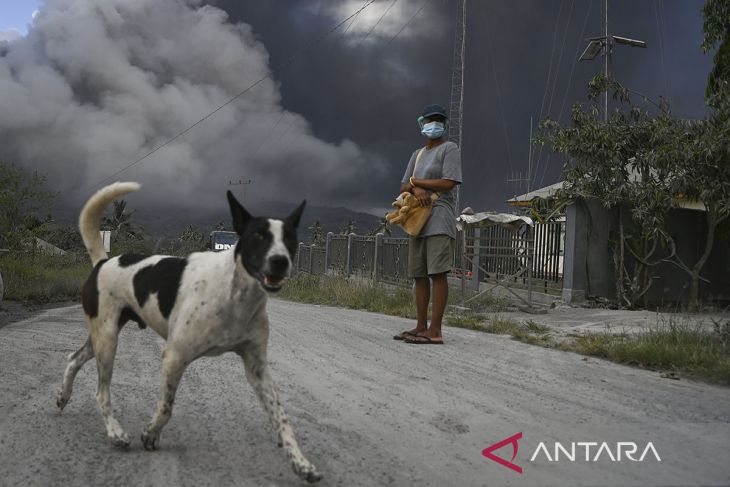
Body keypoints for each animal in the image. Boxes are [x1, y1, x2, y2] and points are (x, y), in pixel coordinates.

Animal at [57, 182, 318, 484]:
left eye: (290, 239)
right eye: (258, 236)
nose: (279, 261)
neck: (236, 292)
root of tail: (103, 262)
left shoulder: (258, 369)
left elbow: (282, 419)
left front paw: (301, 463)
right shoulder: (175, 356)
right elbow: (166, 407)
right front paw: (149, 434)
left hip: (101, 337)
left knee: (73, 358)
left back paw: (63, 396)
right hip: (108, 340)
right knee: (101, 393)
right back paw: (115, 434)